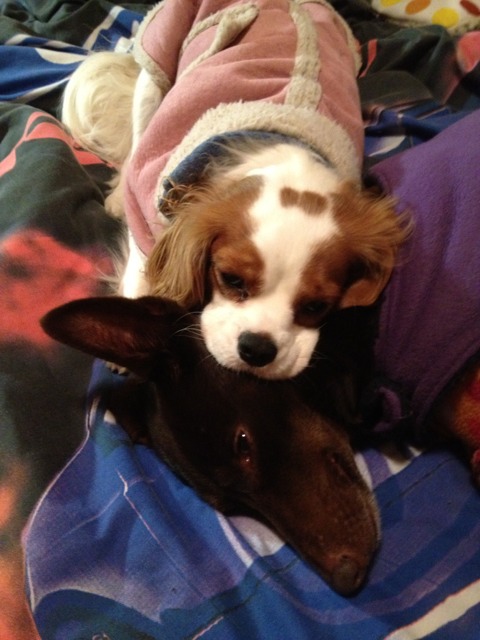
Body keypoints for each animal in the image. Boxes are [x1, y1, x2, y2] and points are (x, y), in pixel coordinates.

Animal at [61, 0, 408, 379]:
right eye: (230, 279)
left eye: (317, 306)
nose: (257, 349)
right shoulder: (147, 199)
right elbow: (141, 261)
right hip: (156, 71)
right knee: (137, 137)